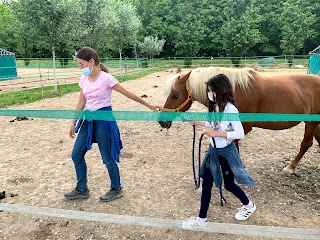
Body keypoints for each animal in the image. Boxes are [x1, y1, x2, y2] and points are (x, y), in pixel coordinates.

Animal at [159, 66, 320, 173]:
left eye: (175, 95)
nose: (162, 121)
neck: (231, 91)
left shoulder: (240, 128)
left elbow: (233, 148)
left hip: (312, 123)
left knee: (306, 144)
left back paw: (290, 168)